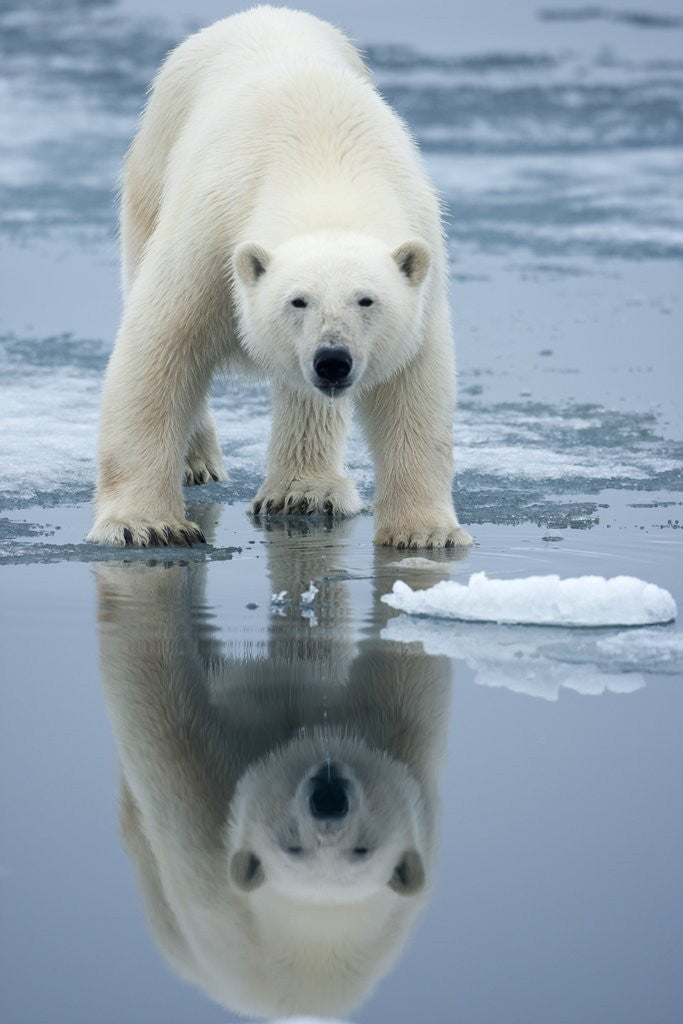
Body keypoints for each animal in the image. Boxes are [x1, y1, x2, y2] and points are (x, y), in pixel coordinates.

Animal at [86, 5, 472, 550]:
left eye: (367, 300)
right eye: (298, 300)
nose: (333, 360)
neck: (323, 166)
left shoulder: (421, 251)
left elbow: (414, 385)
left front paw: (425, 532)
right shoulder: (213, 233)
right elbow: (161, 345)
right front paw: (146, 524)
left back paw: (303, 492)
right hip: (152, 168)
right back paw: (198, 461)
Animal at [95, 514, 453, 1017]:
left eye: (364, 849)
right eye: (291, 845)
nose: (328, 798)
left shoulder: (404, 747)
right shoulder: (202, 830)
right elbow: (159, 702)